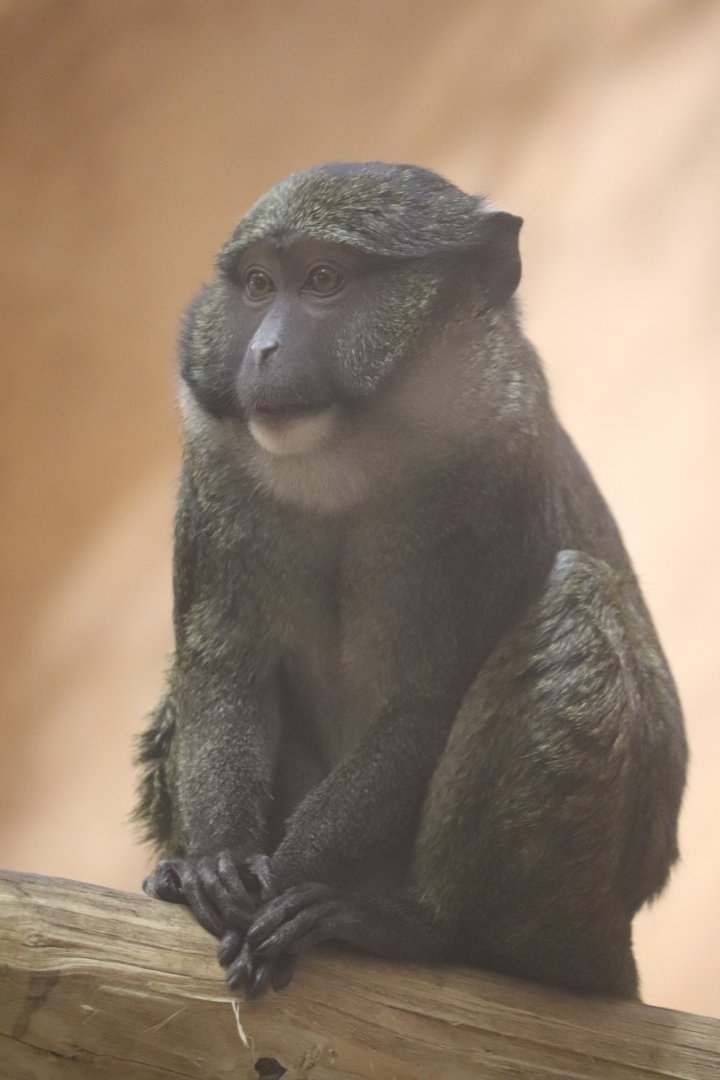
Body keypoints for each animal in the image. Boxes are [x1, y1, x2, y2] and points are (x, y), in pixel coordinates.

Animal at [135, 162, 687, 1001]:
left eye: (324, 281)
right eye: (259, 286)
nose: (261, 348)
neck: (354, 454)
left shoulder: (497, 447)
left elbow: (426, 702)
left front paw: (285, 887)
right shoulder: (214, 461)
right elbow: (224, 665)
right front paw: (214, 867)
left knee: (578, 597)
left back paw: (419, 927)